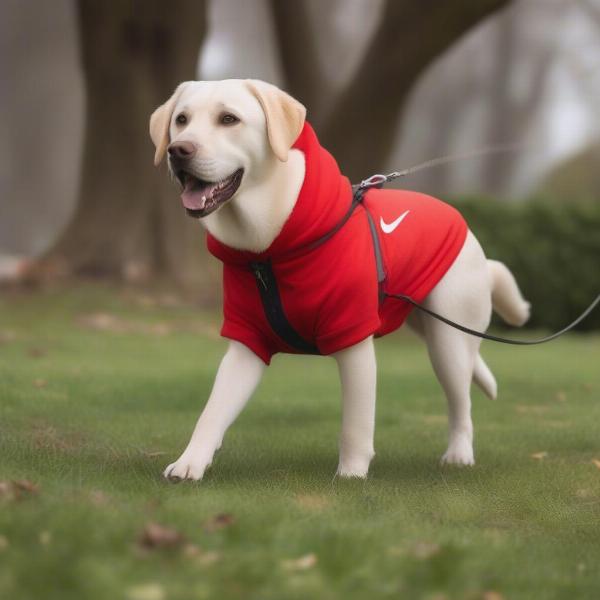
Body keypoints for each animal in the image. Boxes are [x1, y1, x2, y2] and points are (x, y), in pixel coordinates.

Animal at [149, 81, 528, 482]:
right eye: (181, 120)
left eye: (228, 119)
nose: (178, 150)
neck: (267, 248)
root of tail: (468, 232)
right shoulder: (247, 340)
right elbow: (213, 410)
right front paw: (190, 463)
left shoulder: (353, 337)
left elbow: (355, 424)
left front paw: (351, 475)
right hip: (429, 325)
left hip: (448, 343)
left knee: (461, 404)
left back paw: (458, 455)